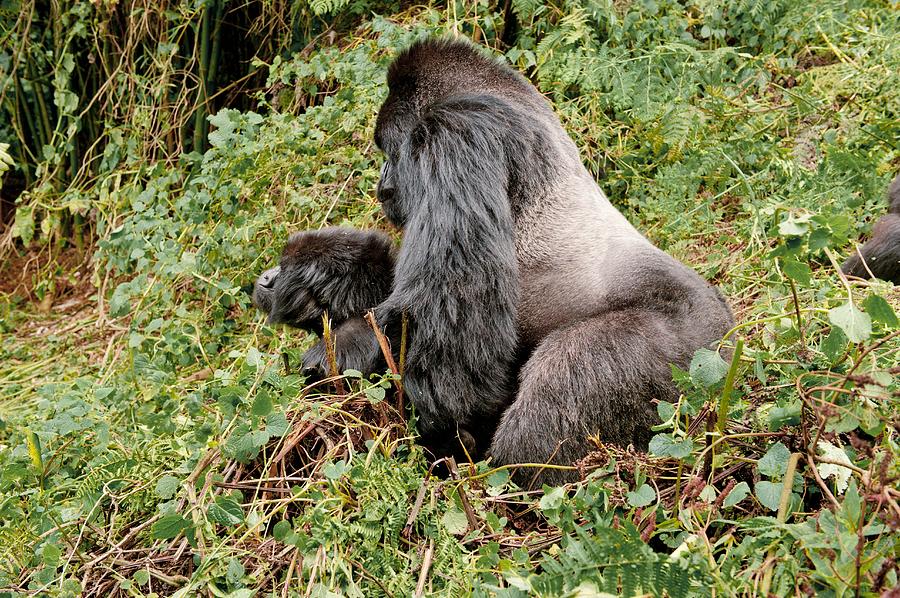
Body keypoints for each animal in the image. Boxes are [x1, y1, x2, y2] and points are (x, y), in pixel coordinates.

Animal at [302, 36, 740, 488]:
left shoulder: (454, 133)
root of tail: (729, 333)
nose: (381, 185)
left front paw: (345, 353)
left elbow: (449, 305)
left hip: (689, 353)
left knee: (564, 380)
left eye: (388, 151)